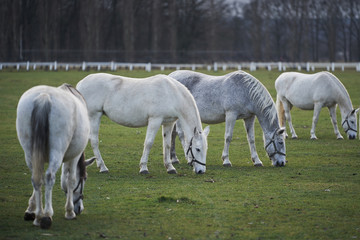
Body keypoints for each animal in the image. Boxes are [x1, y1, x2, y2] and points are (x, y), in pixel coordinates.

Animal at [16, 84, 95, 229]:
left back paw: (38, 216)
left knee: (37, 177)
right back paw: (46, 215)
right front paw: (69, 211)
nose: (79, 209)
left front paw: (31, 209)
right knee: (49, 176)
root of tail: (44, 97)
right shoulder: (74, 157)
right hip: (57, 150)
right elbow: (70, 180)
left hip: (29, 151)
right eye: (85, 178)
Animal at [76, 72, 211, 174]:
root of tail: (80, 84)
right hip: (94, 116)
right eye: (198, 149)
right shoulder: (155, 120)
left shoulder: (168, 123)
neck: (171, 93)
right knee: (94, 141)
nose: (201, 171)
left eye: (205, 149)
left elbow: (167, 145)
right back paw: (103, 167)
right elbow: (149, 143)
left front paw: (170, 167)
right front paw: (144, 168)